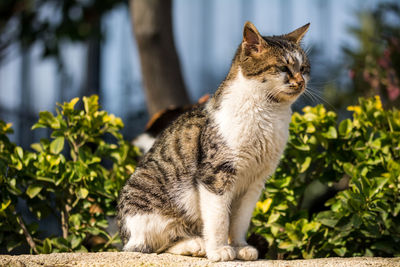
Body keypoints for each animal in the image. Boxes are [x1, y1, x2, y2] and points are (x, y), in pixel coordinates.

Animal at [117, 20, 310, 262]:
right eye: (284, 68)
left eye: (304, 69)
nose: (301, 82)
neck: (269, 113)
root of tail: (124, 236)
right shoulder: (215, 175)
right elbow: (219, 218)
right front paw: (219, 250)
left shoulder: (255, 182)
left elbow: (240, 219)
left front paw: (240, 246)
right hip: (148, 209)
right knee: (153, 245)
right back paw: (196, 244)